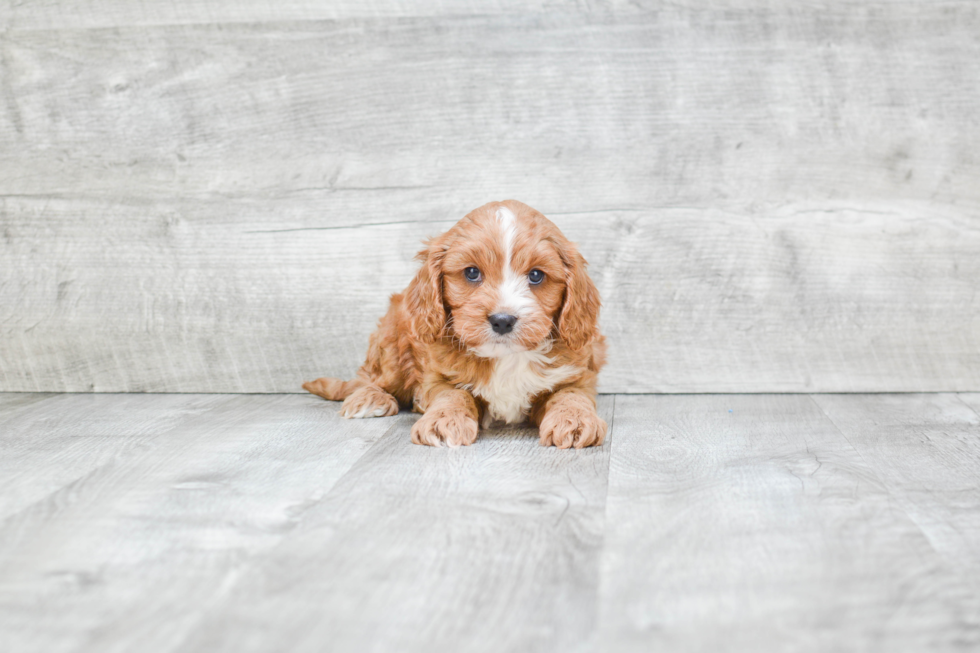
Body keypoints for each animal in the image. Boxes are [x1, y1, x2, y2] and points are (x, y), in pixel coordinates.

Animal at [302, 199, 604, 448]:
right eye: (471, 273)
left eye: (536, 276)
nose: (502, 320)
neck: (505, 357)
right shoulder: (438, 375)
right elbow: (453, 395)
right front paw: (443, 420)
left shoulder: (577, 374)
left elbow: (571, 395)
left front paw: (576, 420)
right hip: (392, 343)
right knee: (368, 378)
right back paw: (370, 398)